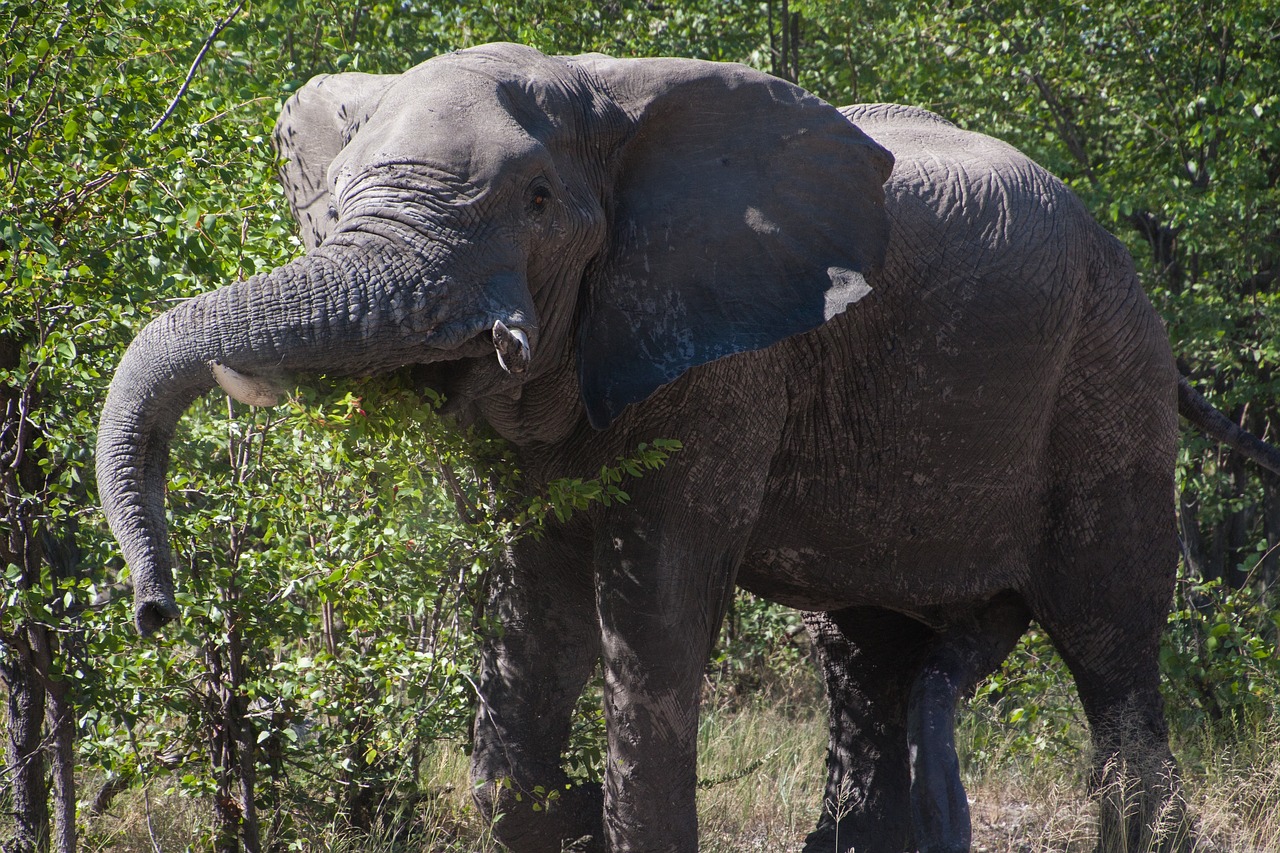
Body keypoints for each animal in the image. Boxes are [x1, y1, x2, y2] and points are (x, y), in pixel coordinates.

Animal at [97, 44, 1280, 850]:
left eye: (536, 201)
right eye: (334, 205)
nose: (154, 611)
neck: (601, 92)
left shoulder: (723, 355)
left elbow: (653, 604)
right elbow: (532, 606)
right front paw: (562, 817)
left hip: (1107, 372)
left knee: (1107, 634)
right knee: (865, 647)